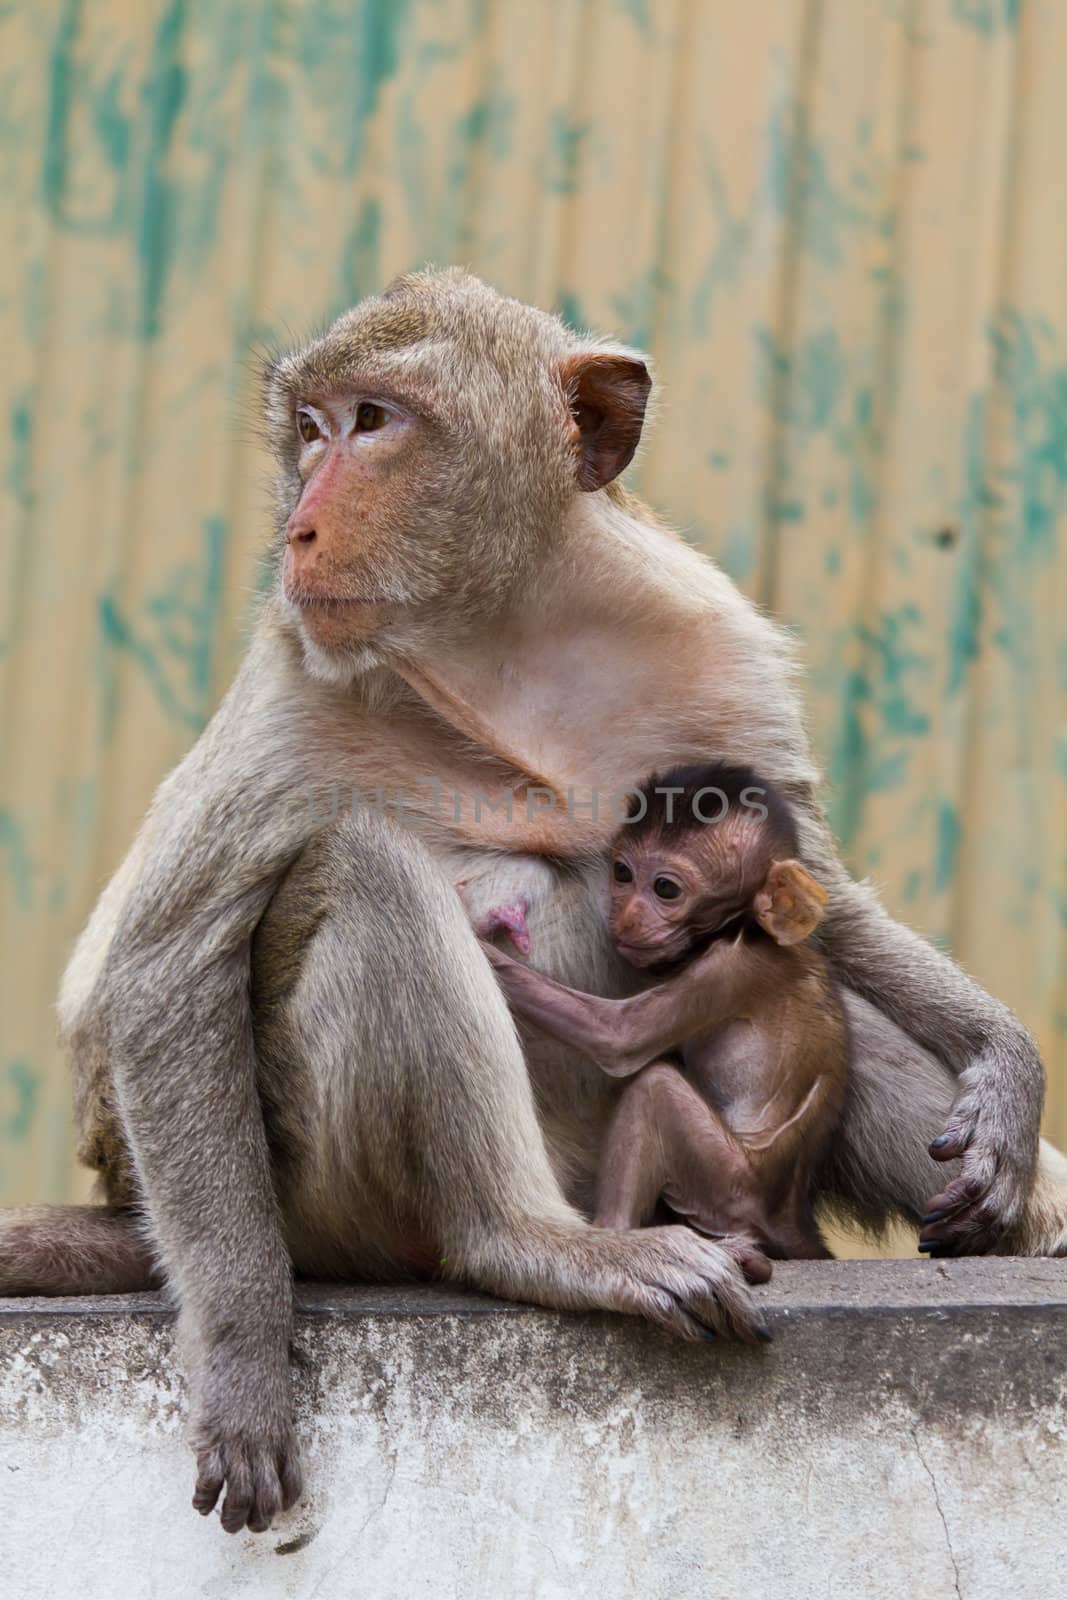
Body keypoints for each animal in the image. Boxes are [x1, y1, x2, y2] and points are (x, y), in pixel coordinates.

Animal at [479, 764, 844, 1260]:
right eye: (622, 873)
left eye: (666, 888)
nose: (628, 916)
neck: (742, 929)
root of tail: (787, 1220)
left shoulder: (731, 971)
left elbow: (619, 1037)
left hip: (727, 1185)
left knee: (655, 1088)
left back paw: (615, 1236)